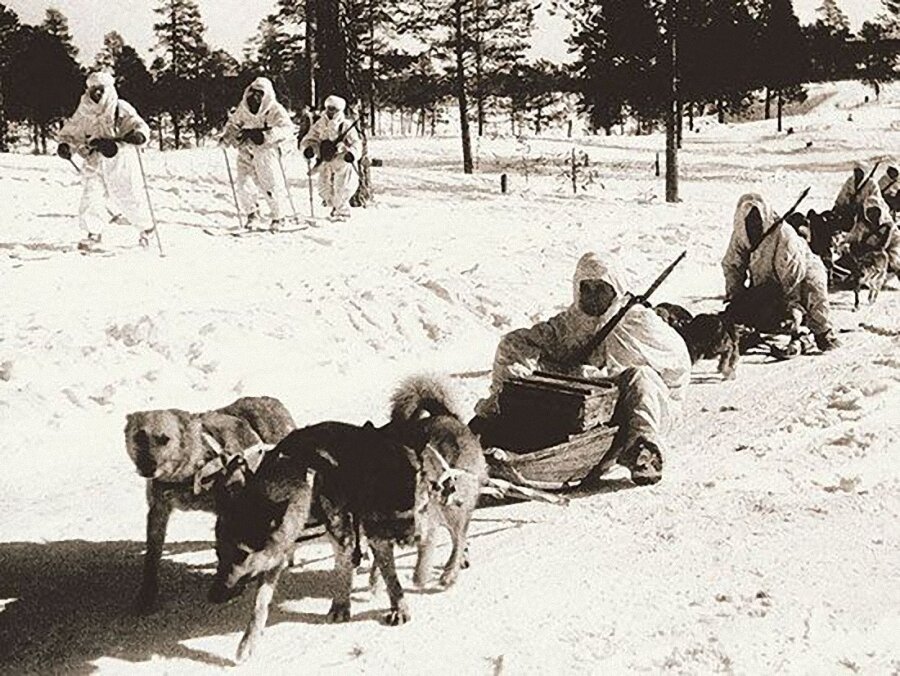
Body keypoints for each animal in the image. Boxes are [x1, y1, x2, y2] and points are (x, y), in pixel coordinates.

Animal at [124, 396, 296, 612]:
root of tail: (271, 400)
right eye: (139, 437)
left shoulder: (228, 510)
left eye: (164, 439)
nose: (147, 467)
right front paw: (146, 596)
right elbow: (152, 558)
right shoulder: (158, 512)